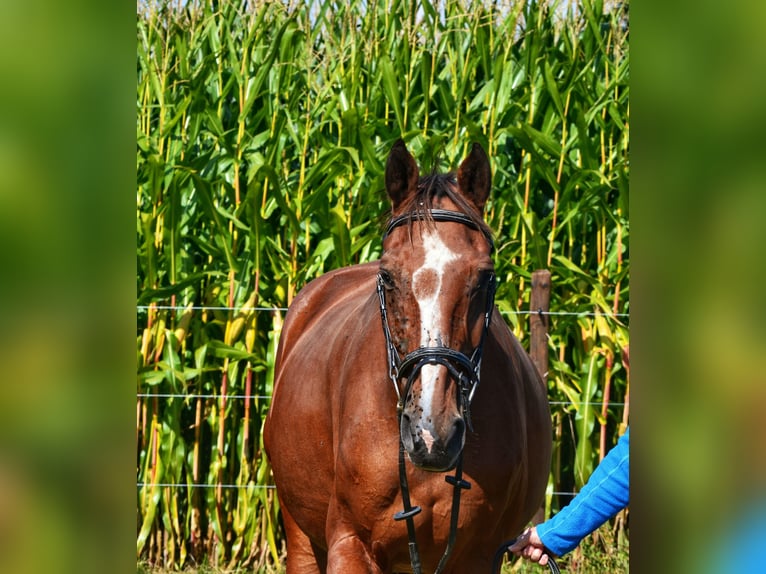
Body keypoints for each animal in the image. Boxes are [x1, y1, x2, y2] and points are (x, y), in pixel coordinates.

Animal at [264, 141, 552, 574]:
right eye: (386, 276)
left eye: (485, 277)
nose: (431, 432)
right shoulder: (350, 545)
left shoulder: (479, 557)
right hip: (299, 532)